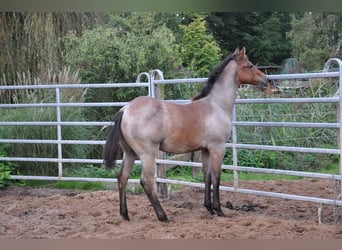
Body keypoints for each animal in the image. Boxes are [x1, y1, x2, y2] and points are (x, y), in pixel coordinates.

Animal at [103, 47, 268, 223]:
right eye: (250, 65)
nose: (266, 80)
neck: (216, 105)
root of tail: (125, 109)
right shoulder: (218, 148)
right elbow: (216, 177)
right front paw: (219, 210)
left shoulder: (205, 150)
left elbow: (206, 176)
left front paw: (209, 208)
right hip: (147, 154)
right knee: (146, 182)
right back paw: (163, 216)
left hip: (130, 153)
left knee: (122, 177)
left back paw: (125, 214)